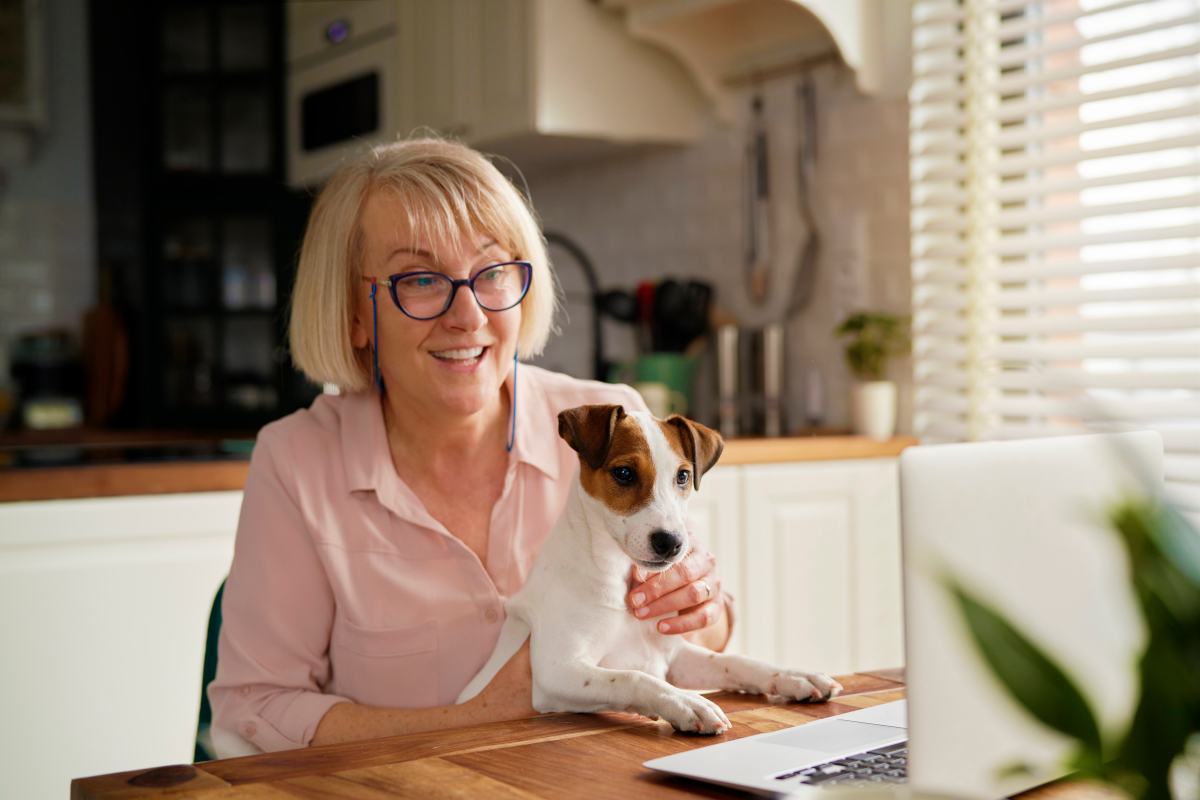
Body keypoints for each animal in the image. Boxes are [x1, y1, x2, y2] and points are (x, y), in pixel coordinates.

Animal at [453, 407, 840, 734]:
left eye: (683, 476)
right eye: (624, 473)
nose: (672, 543)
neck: (620, 579)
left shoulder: (672, 654)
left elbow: (737, 661)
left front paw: (792, 675)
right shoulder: (556, 671)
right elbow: (632, 678)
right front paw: (685, 703)